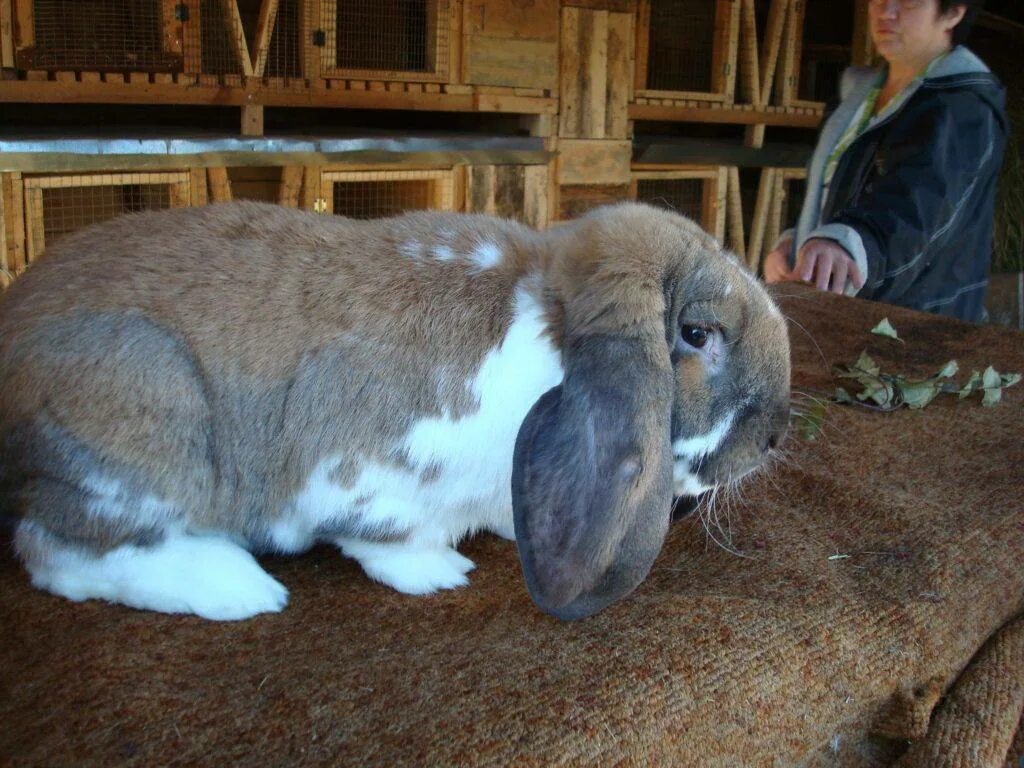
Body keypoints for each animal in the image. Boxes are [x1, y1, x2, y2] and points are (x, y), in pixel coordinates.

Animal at [0, 201, 790, 622]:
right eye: (697, 334)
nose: (777, 436)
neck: (545, 329)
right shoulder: (367, 476)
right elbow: (384, 539)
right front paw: (441, 572)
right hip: (140, 433)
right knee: (61, 552)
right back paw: (240, 588)